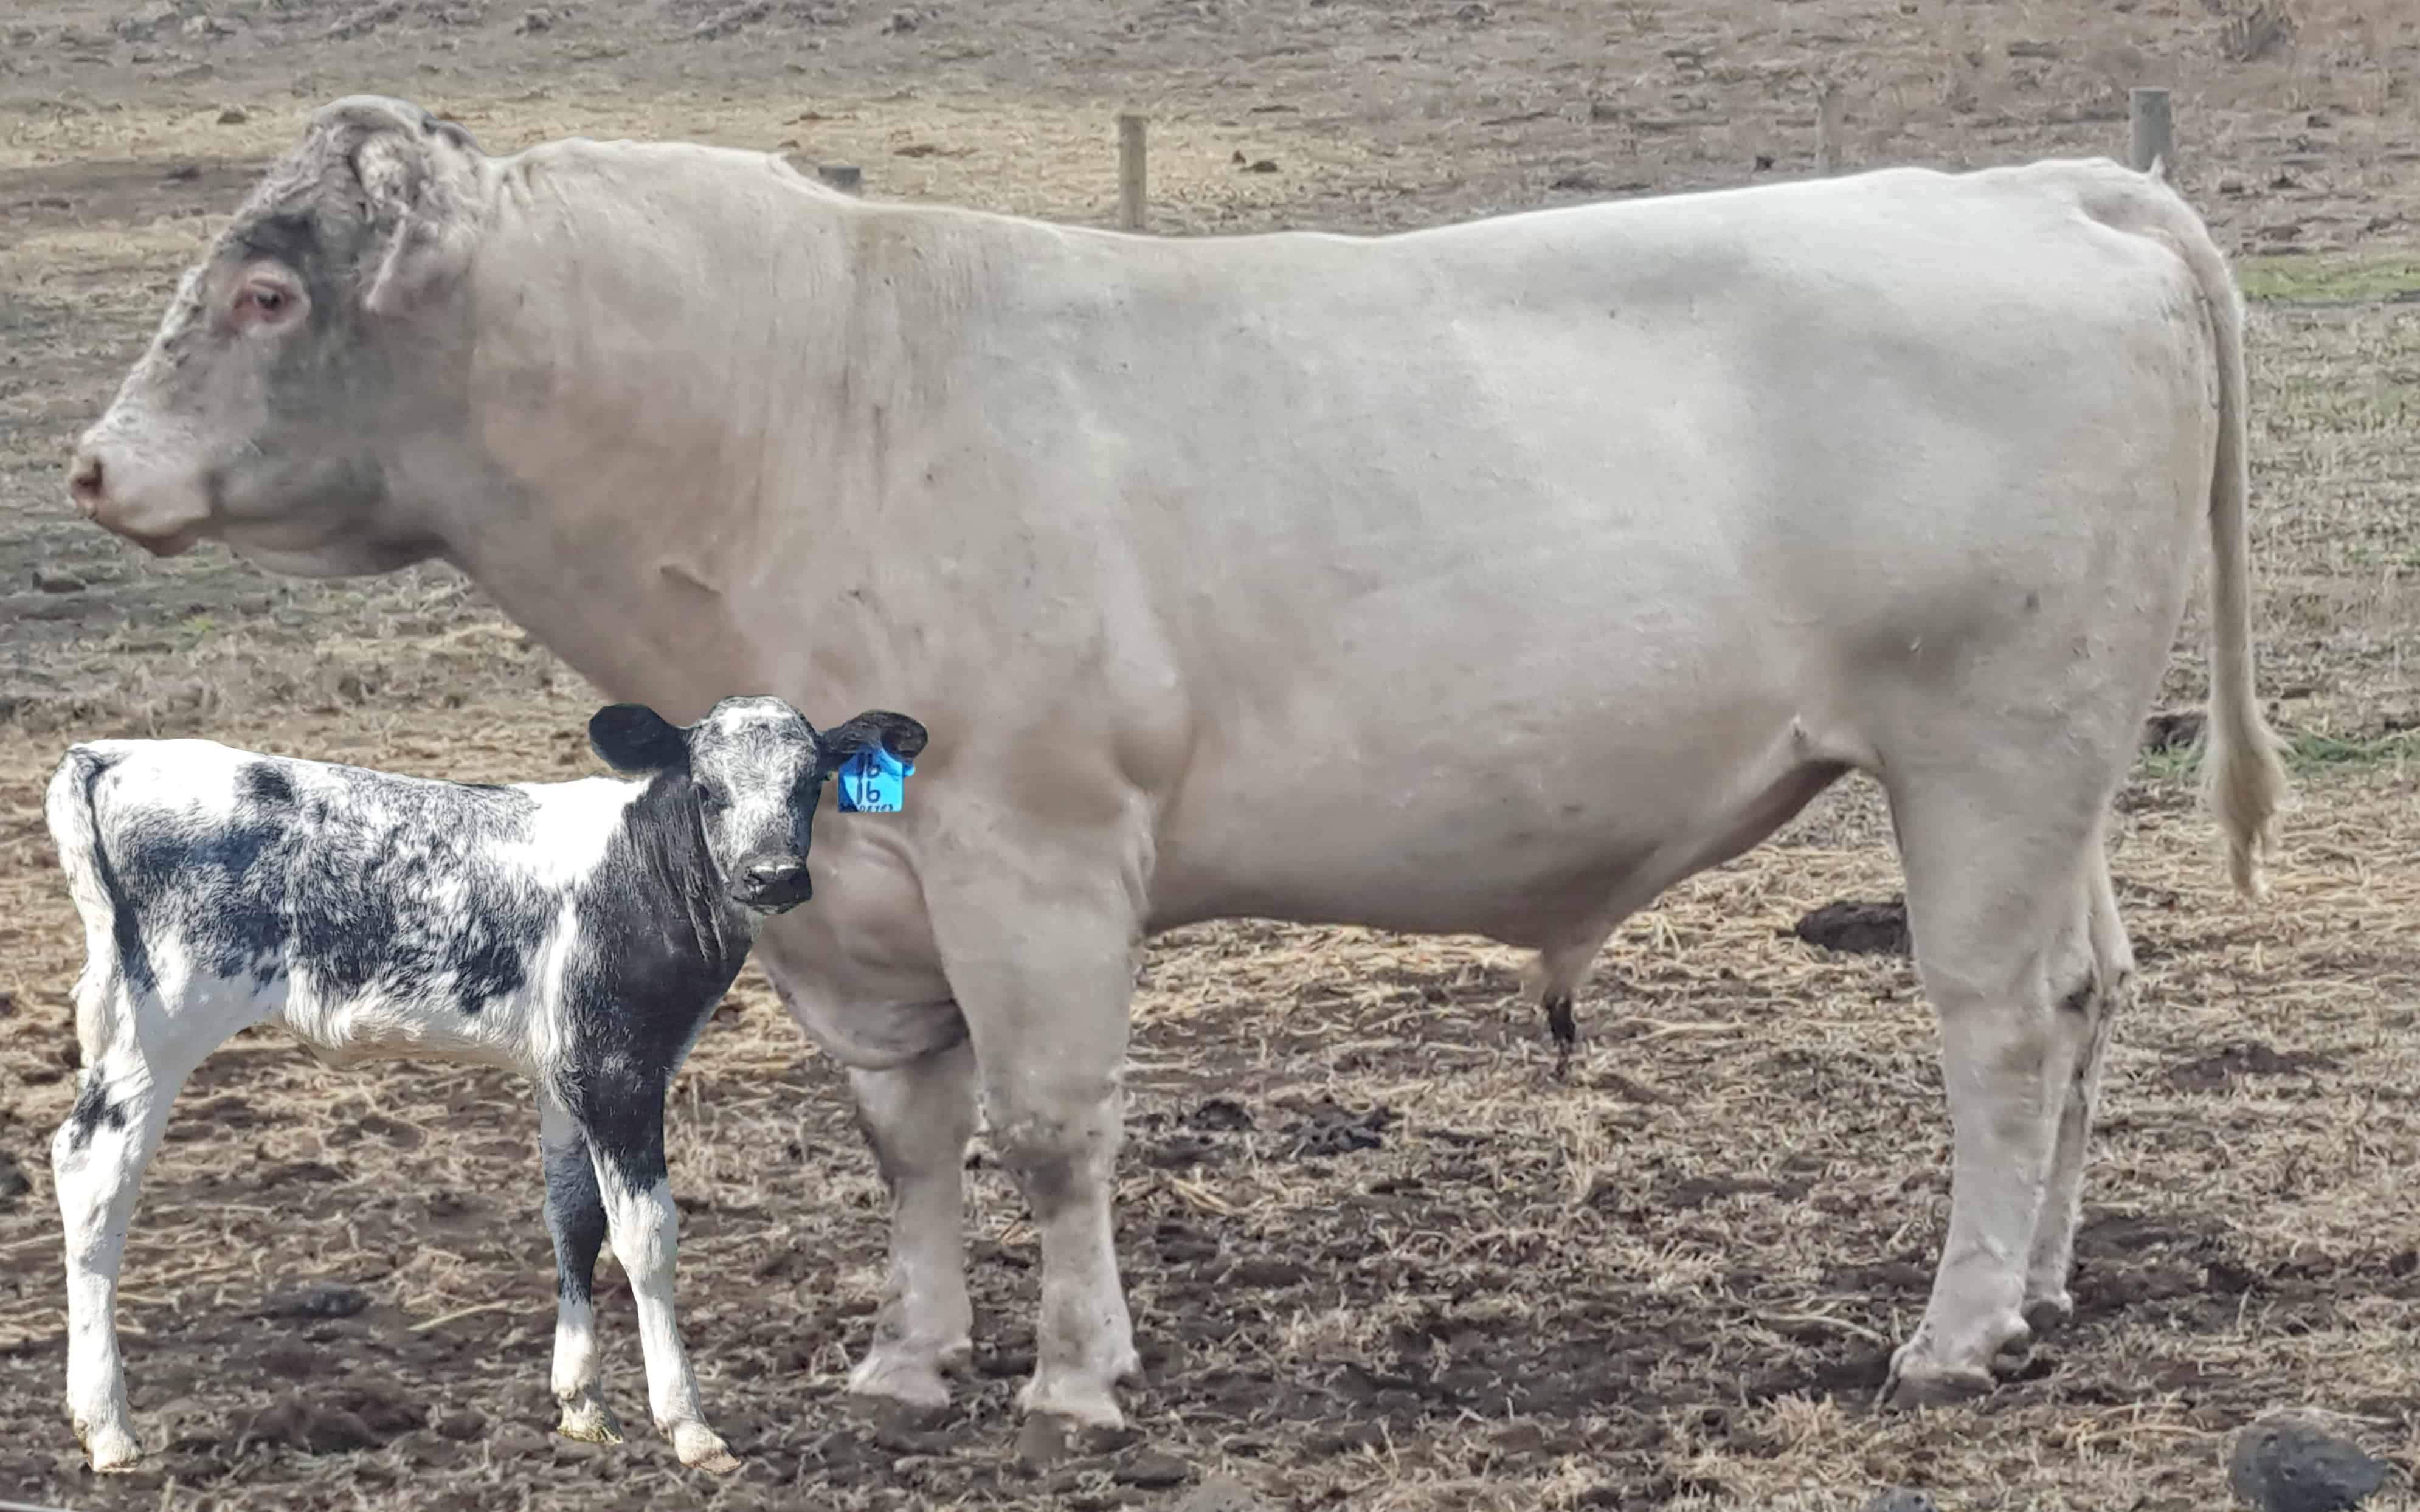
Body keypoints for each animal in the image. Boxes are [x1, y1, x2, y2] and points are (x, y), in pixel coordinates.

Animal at [40, 697, 924, 1471]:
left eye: (811, 783)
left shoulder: (566, 1073)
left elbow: (574, 1219)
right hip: (161, 1025)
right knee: (92, 1174)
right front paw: (688, 1424)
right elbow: (646, 1235)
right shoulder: (619, 1066)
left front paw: (582, 1404)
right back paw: (107, 1426)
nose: (772, 876)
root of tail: (112, 756)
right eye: (707, 788)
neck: (641, 870)